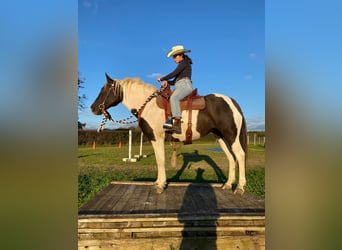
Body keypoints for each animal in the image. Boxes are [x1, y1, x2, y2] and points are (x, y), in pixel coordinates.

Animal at [89, 73, 247, 194]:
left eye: (104, 90)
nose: (93, 108)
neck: (148, 106)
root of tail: (232, 101)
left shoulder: (157, 138)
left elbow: (160, 160)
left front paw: (160, 185)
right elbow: (159, 161)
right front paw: (158, 182)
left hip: (231, 136)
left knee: (239, 155)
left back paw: (239, 187)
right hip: (220, 137)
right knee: (231, 158)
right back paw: (228, 184)